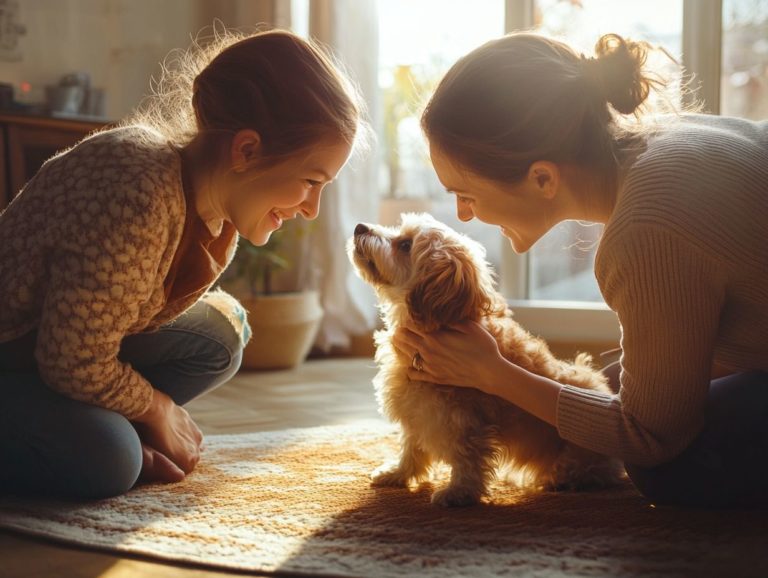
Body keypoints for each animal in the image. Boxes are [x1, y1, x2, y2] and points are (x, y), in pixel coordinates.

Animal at [348, 212, 624, 504]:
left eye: (405, 245)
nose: (359, 227)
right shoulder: (417, 410)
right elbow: (412, 447)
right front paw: (397, 474)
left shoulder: (465, 422)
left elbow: (467, 459)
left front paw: (458, 493)